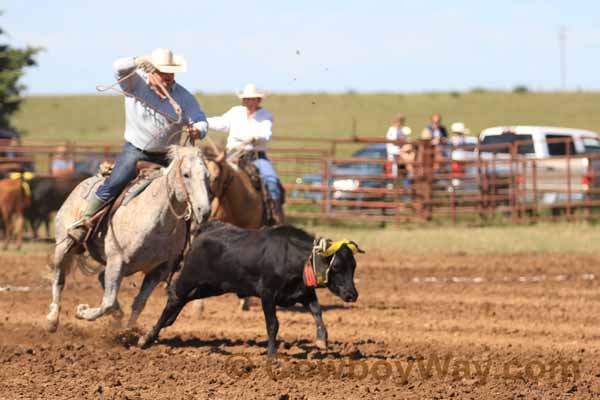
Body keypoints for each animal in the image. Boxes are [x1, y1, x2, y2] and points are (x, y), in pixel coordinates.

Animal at [45, 146, 212, 332]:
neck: (159, 223)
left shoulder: (159, 270)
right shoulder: (117, 260)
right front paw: (82, 311)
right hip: (64, 245)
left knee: (101, 278)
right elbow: (107, 302)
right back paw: (52, 319)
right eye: (186, 174)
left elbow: (139, 302)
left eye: (207, 176)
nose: (204, 211)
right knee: (59, 278)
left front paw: (128, 331)